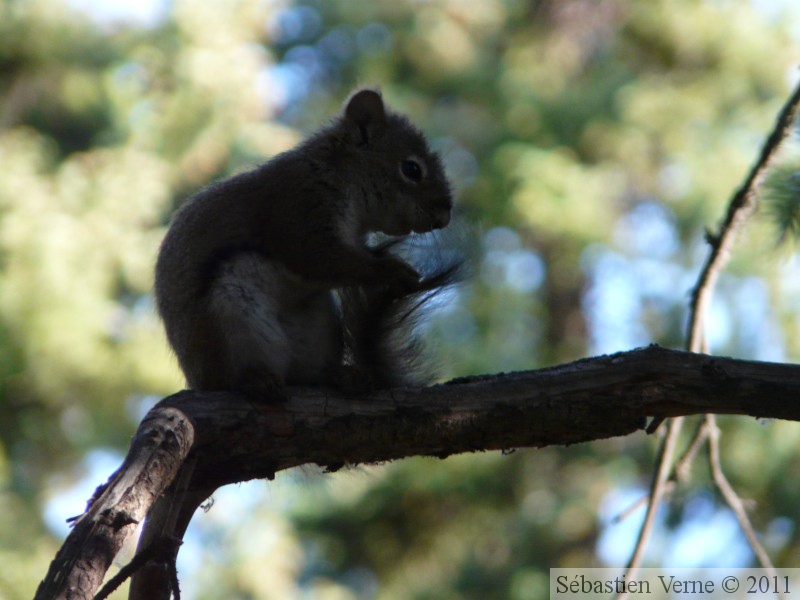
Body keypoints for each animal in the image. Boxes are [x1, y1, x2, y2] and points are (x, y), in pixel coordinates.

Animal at [155, 88, 462, 398]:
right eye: (411, 169)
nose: (445, 215)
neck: (339, 175)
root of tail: (200, 379)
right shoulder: (298, 208)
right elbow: (318, 259)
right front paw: (392, 270)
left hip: (319, 327)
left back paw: (341, 376)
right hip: (231, 316)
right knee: (234, 375)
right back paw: (252, 380)